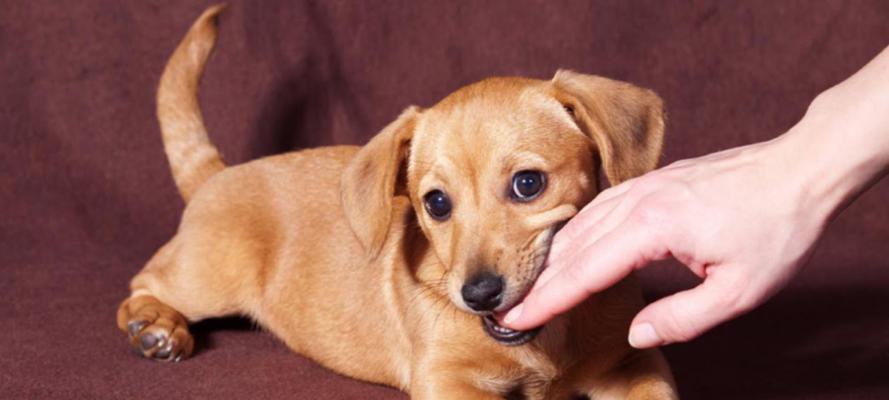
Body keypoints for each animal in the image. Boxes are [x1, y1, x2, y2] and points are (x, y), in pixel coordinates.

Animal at [116, 6, 672, 400]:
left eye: (528, 184)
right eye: (437, 203)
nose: (478, 294)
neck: (544, 343)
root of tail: (219, 173)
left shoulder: (632, 365)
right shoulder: (446, 378)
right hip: (207, 277)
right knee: (143, 281)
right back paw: (157, 326)